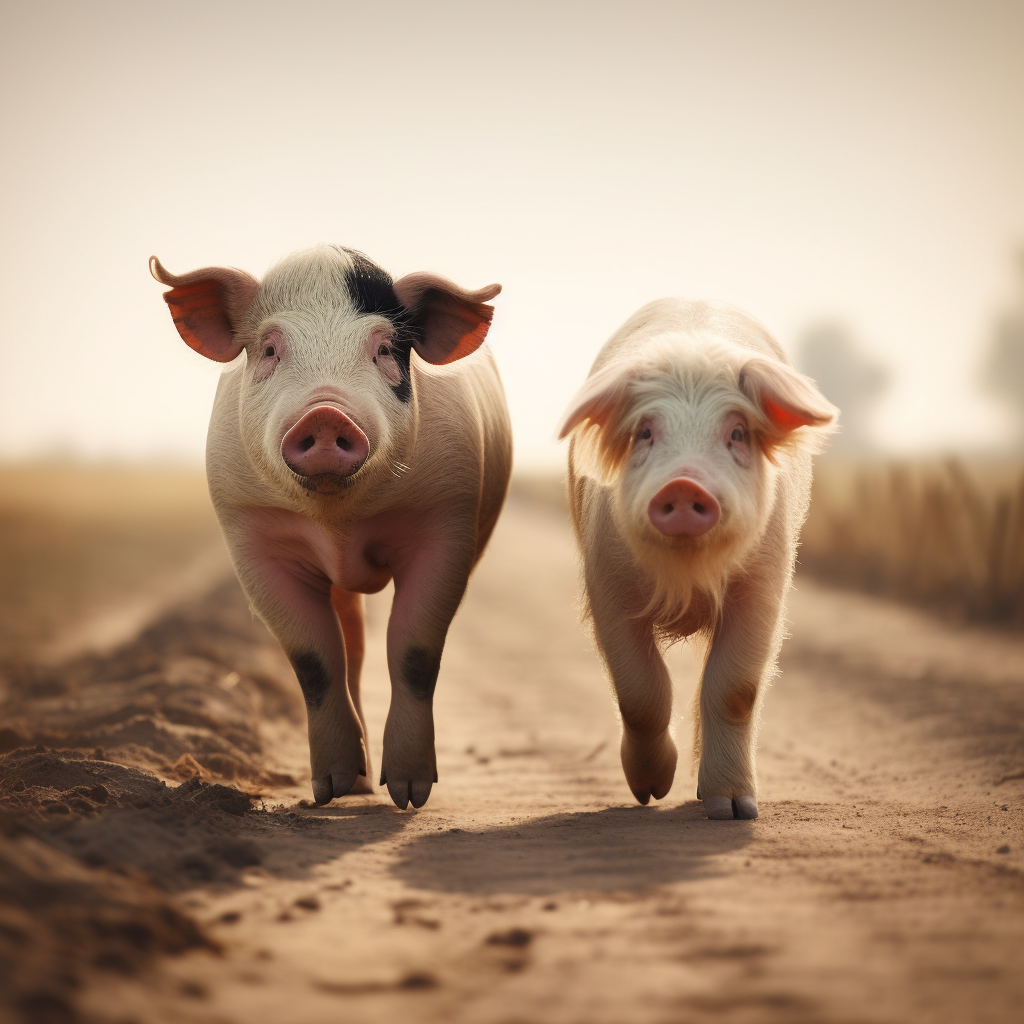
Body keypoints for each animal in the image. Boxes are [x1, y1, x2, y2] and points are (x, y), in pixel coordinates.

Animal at [151, 245, 512, 806]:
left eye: (384, 348)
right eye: (270, 348)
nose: (325, 415)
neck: (338, 523)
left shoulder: (448, 519)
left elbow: (414, 651)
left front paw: (410, 794)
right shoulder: (249, 532)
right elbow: (314, 659)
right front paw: (328, 791)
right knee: (351, 653)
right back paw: (355, 787)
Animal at [557, 299, 835, 819]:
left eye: (738, 432)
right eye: (645, 432)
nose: (684, 484)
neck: (687, 580)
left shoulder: (764, 585)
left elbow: (734, 690)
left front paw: (732, 810)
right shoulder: (607, 585)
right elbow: (639, 693)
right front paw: (650, 792)